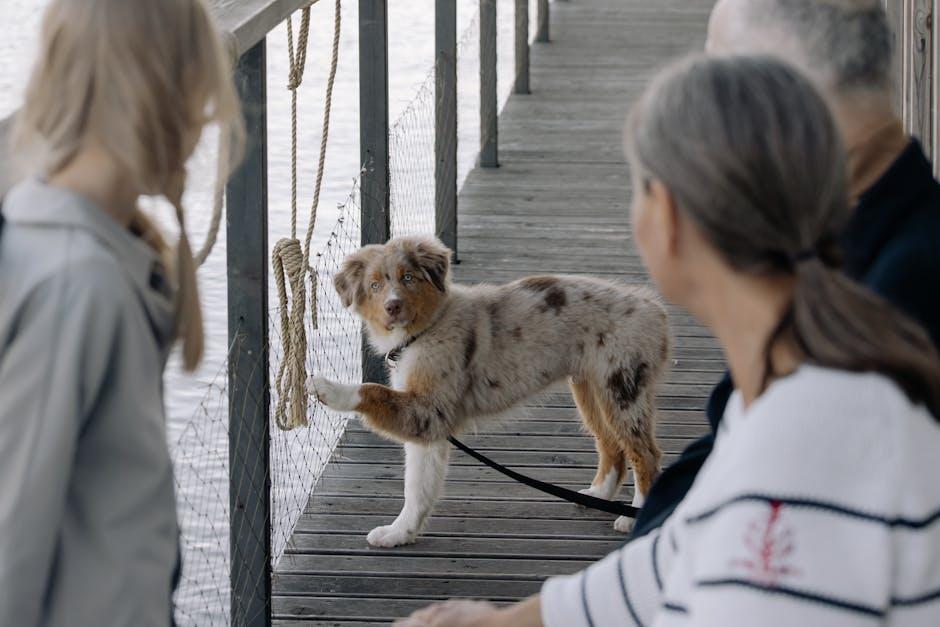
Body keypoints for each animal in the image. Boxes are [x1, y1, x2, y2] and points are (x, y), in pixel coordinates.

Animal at [308, 233, 668, 548]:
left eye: (408, 278)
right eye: (375, 285)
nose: (392, 307)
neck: (427, 328)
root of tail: (653, 307)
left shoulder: (429, 409)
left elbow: (371, 391)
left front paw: (326, 388)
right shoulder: (428, 425)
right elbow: (417, 486)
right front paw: (400, 534)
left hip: (623, 387)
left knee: (645, 454)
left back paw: (634, 517)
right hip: (591, 388)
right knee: (610, 444)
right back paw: (597, 497)